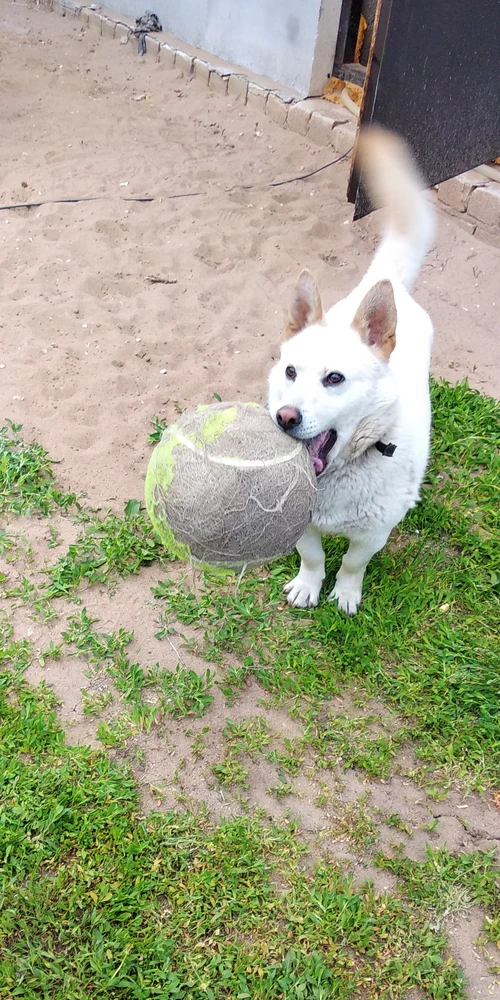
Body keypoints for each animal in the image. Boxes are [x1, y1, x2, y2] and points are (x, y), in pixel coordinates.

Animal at [268, 125, 436, 608]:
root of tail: (389, 281)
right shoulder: (302, 527)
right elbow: (313, 557)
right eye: (290, 372)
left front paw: (345, 594)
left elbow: (352, 564)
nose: (285, 418)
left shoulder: (373, 534)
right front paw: (308, 587)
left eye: (334, 379)